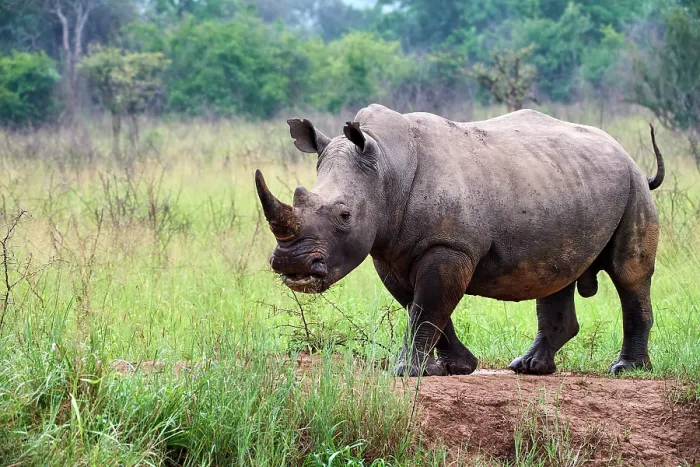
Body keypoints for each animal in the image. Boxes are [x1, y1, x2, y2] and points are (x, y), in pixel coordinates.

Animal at [255, 104, 665, 376]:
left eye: (344, 215)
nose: (292, 265)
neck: (385, 165)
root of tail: (626, 154)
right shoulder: (390, 252)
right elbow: (422, 307)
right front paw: (456, 367)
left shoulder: (450, 246)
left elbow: (427, 306)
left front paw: (407, 371)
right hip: (565, 182)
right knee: (557, 272)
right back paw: (529, 367)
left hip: (632, 187)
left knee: (629, 273)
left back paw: (626, 370)